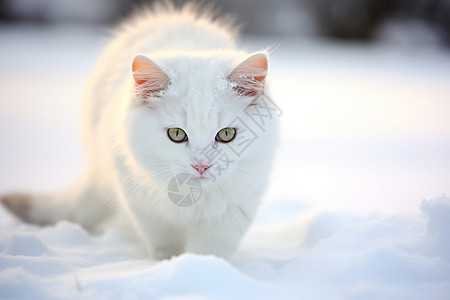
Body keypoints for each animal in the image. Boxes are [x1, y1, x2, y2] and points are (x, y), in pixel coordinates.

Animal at [1, 2, 280, 260]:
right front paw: (170, 267)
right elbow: (164, 246)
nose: (201, 166)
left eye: (226, 134)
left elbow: (210, 253)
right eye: (177, 134)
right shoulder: (145, 208)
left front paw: (199, 269)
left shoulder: (233, 211)